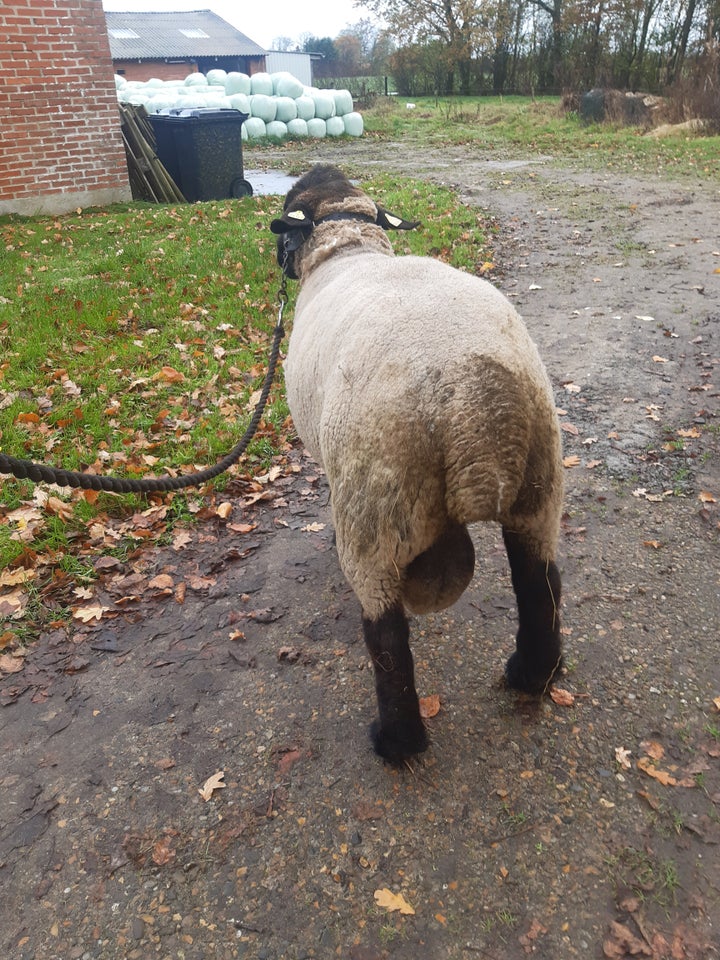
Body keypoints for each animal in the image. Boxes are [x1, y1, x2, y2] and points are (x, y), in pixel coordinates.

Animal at [270, 167, 564, 764]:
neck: (348, 248)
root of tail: (473, 401)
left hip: (375, 507)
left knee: (386, 637)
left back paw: (396, 742)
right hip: (538, 486)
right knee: (540, 583)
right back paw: (532, 675)